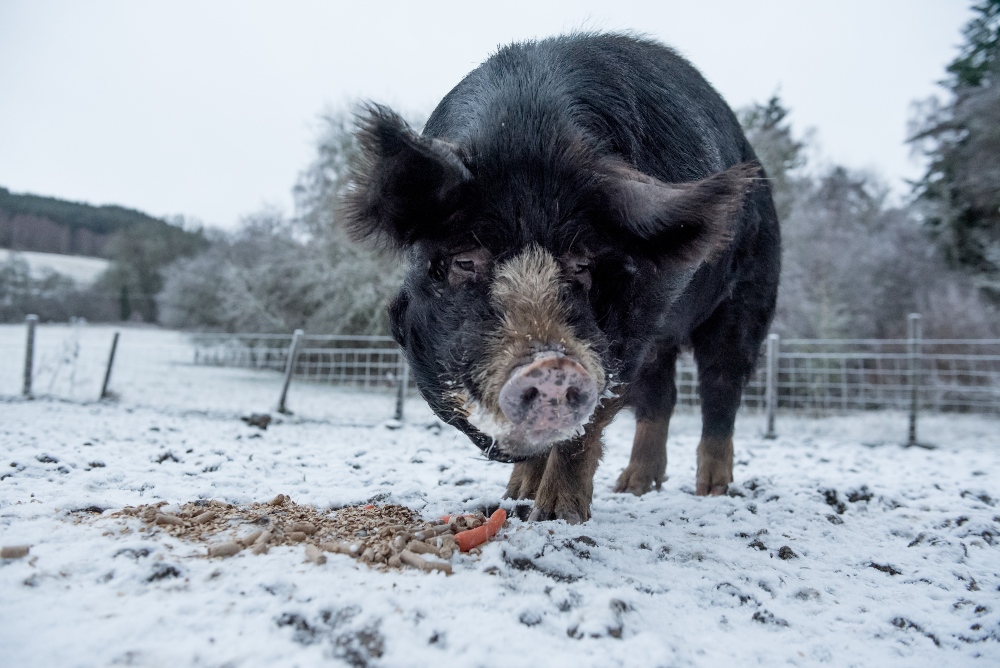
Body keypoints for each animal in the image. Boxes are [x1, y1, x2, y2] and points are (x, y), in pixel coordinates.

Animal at [342, 32, 780, 520]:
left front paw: (555, 516)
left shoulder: (627, 334)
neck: (526, 130)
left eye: (583, 263)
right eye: (464, 260)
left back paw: (712, 493)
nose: (551, 364)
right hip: (661, 342)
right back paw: (633, 487)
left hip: (745, 300)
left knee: (721, 389)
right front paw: (515, 498)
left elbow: (588, 425)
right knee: (660, 398)